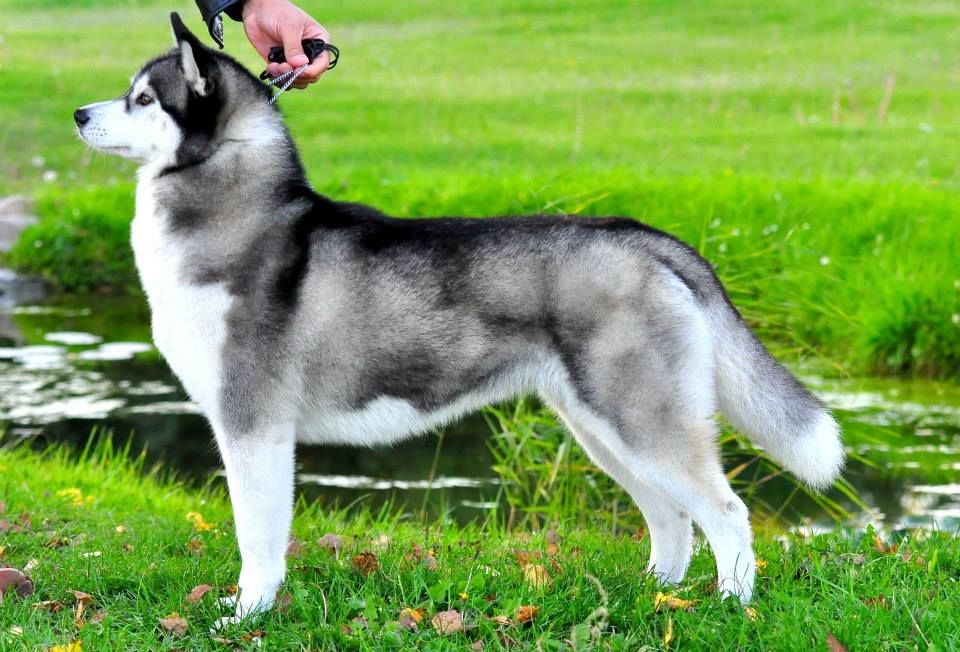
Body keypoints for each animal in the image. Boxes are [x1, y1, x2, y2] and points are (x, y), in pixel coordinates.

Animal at [74, 12, 843, 623]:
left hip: (640, 420)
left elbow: (256, 540)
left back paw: (730, 604)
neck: (235, 216)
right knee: (672, 514)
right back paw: (655, 595)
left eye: (143, 98)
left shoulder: (253, 425)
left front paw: (246, 616)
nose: (79, 115)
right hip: (603, 428)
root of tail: (645, 236)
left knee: (726, 511)